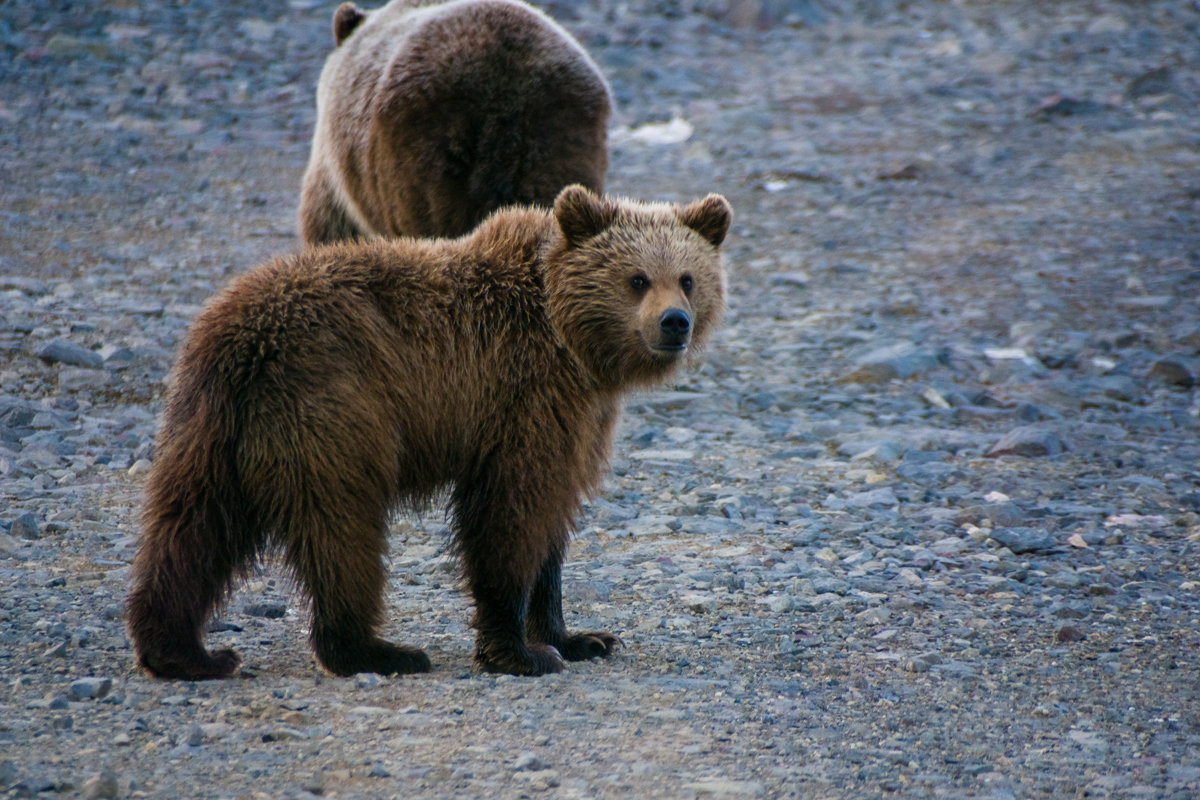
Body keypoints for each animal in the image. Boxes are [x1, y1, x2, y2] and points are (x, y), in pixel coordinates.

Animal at [129, 188, 729, 681]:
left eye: (688, 278)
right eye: (637, 279)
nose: (674, 322)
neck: (573, 344)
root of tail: (238, 335)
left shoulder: (580, 417)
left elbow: (553, 520)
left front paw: (580, 637)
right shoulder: (522, 395)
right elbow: (511, 514)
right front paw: (521, 652)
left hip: (209, 428)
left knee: (190, 528)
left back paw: (184, 651)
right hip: (331, 411)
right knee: (343, 532)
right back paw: (376, 650)